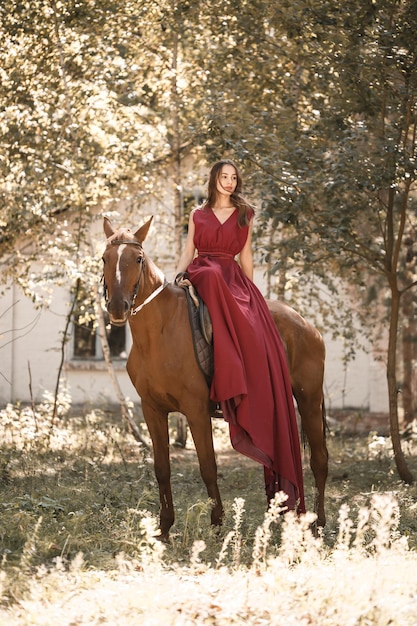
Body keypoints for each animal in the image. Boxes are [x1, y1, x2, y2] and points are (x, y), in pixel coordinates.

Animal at [101, 216, 328, 536]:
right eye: (105, 258)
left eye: (138, 259)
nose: (117, 308)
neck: (159, 332)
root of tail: (307, 325)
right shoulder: (152, 409)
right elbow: (162, 468)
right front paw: (165, 528)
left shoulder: (196, 410)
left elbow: (208, 466)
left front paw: (217, 524)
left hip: (309, 400)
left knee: (319, 459)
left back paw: (318, 522)